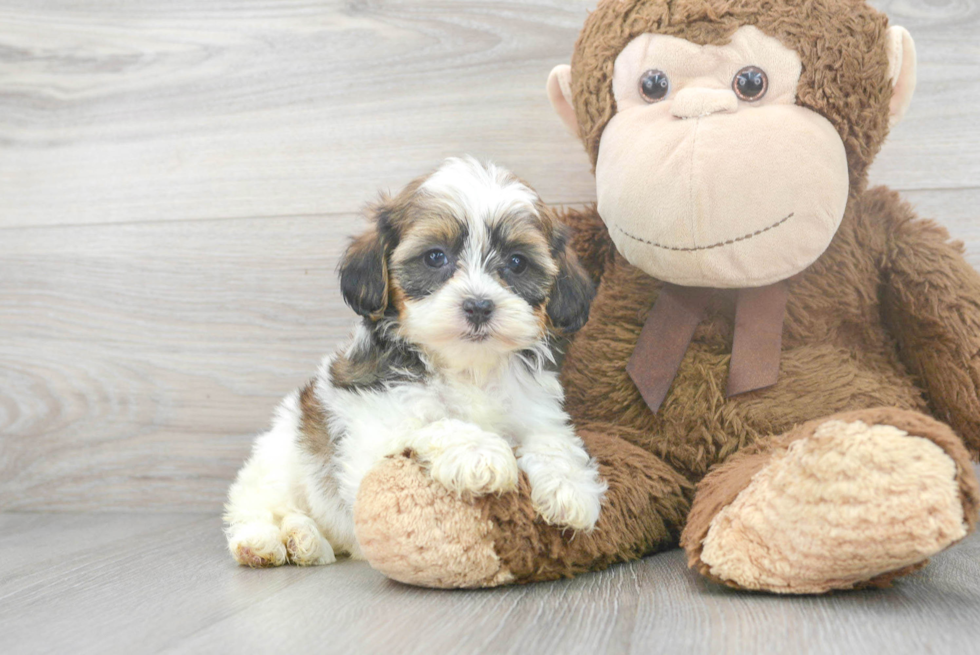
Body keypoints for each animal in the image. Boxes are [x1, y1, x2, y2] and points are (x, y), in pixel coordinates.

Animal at [225, 156, 600, 568]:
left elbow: (553, 441)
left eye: (517, 263)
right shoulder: (371, 430)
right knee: (261, 506)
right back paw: (270, 541)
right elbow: (426, 422)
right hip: (279, 461)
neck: (467, 366)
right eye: (435, 256)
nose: (479, 305)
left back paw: (306, 542)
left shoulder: (536, 410)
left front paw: (571, 488)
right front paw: (480, 452)